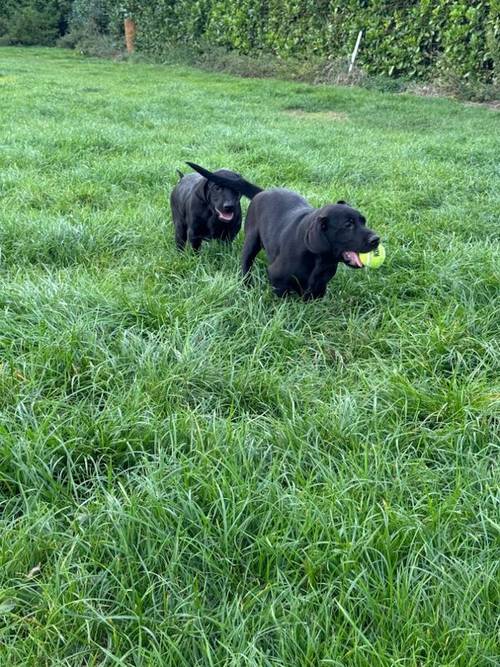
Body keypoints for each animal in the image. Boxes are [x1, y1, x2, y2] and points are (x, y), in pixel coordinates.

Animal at [187, 166, 378, 302]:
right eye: (348, 225)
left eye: (363, 221)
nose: (377, 239)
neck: (319, 259)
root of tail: (262, 192)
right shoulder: (276, 277)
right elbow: (283, 295)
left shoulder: (320, 286)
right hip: (251, 240)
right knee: (246, 264)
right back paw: (246, 285)